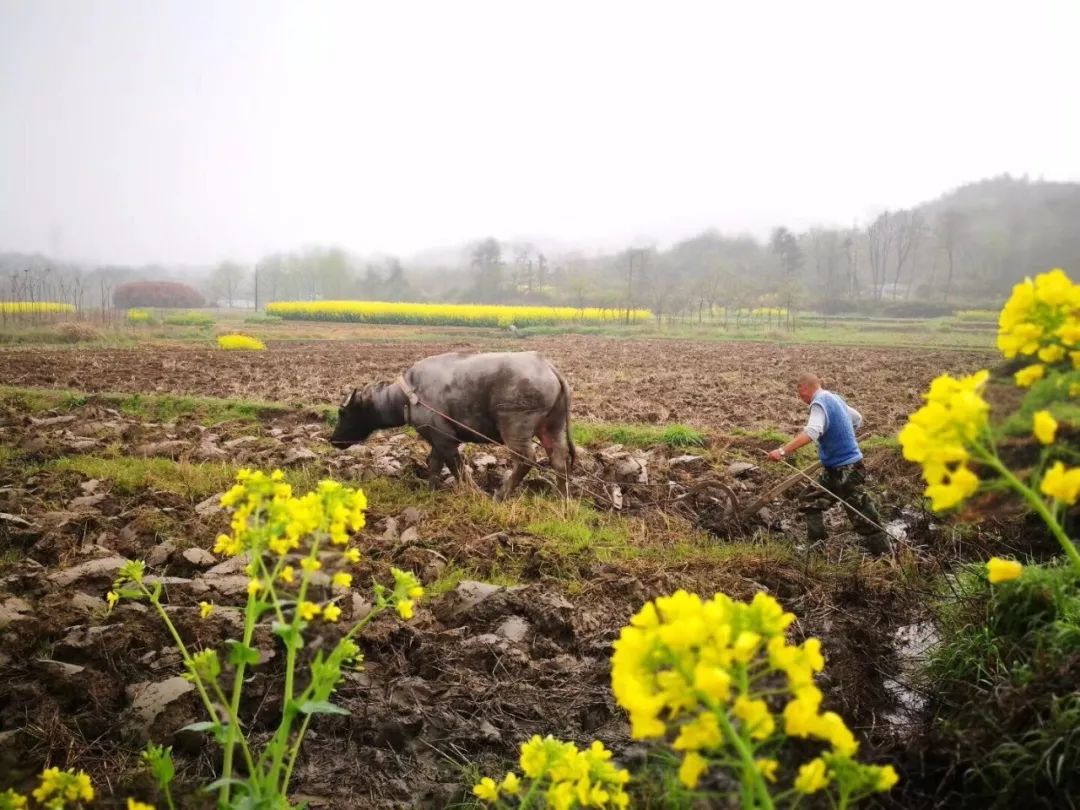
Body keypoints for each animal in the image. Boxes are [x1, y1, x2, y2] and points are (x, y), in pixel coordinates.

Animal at [332, 349, 578, 498]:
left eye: (343, 412)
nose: (333, 440)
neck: (409, 395)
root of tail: (546, 366)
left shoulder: (446, 439)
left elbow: (457, 468)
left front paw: (476, 493)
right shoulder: (436, 438)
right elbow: (434, 463)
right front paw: (430, 490)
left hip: (515, 427)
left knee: (526, 459)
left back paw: (500, 495)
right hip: (553, 426)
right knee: (559, 460)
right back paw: (562, 497)